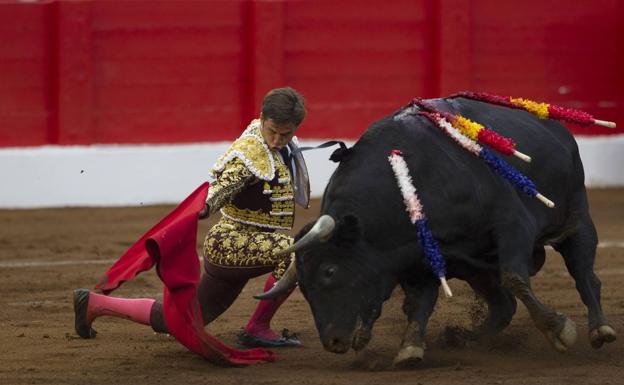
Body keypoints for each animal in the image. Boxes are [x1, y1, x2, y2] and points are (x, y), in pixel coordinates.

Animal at [286, 96, 616, 364]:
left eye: (329, 271)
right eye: (303, 287)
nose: (333, 342)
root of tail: (557, 127)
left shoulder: (511, 223)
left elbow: (514, 277)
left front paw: (558, 329)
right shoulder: (422, 257)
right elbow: (419, 302)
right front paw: (410, 349)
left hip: (576, 218)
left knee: (584, 274)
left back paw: (600, 329)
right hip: (476, 267)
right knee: (503, 306)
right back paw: (465, 337)